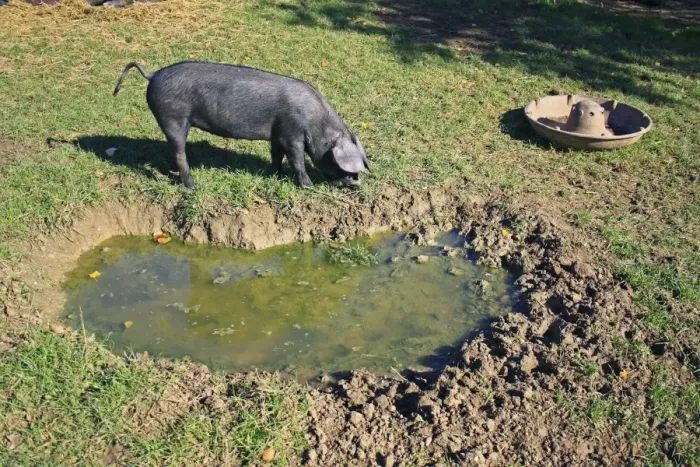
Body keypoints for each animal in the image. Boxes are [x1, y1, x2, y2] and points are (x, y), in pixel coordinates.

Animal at [113, 61, 370, 189]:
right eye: (337, 162)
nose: (356, 183)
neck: (316, 123)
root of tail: (153, 74)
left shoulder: (278, 135)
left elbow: (276, 155)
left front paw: (274, 174)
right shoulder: (292, 134)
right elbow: (297, 161)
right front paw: (309, 187)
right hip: (173, 118)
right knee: (179, 152)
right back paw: (193, 186)